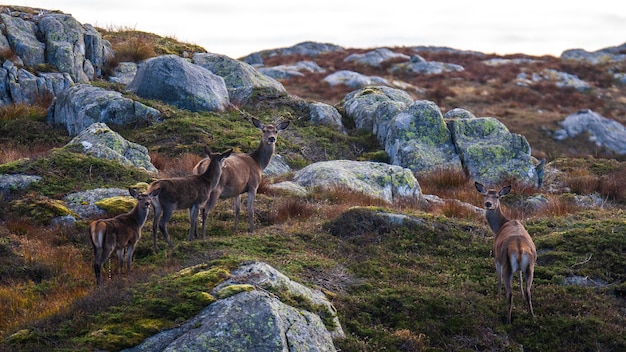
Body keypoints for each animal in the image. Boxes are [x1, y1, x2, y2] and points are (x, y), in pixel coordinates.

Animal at [472, 183, 536, 324]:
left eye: (497, 196)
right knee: (529, 291)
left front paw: (498, 297)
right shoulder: (520, 269)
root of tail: (519, 249)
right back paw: (532, 315)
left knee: (510, 293)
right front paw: (521, 295)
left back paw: (508, 320)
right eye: (485, 195)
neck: (499, 226)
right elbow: (520, 278)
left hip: (507, 264)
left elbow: (498, 279)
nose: (488, 204)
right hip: (531, 267)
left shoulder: (496, 258)